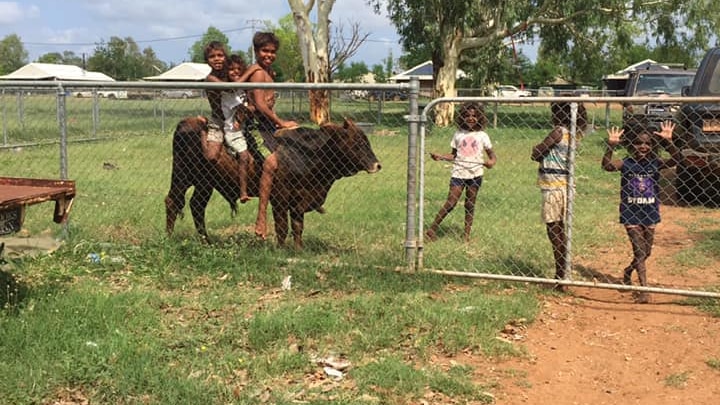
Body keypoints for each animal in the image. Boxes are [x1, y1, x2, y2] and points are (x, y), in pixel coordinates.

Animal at [166, 114, 382, 246]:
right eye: (358, 143)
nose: (377, 165)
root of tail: (187, 122)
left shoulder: (299, 200)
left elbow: (298, 227)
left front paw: (298, 249)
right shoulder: (280, 197)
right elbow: (282, 227)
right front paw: (281, 249)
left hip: (204, 183)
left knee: (197, 206)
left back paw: (206, 241)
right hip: (182, 176)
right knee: (172, 201)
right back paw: (169, 237)